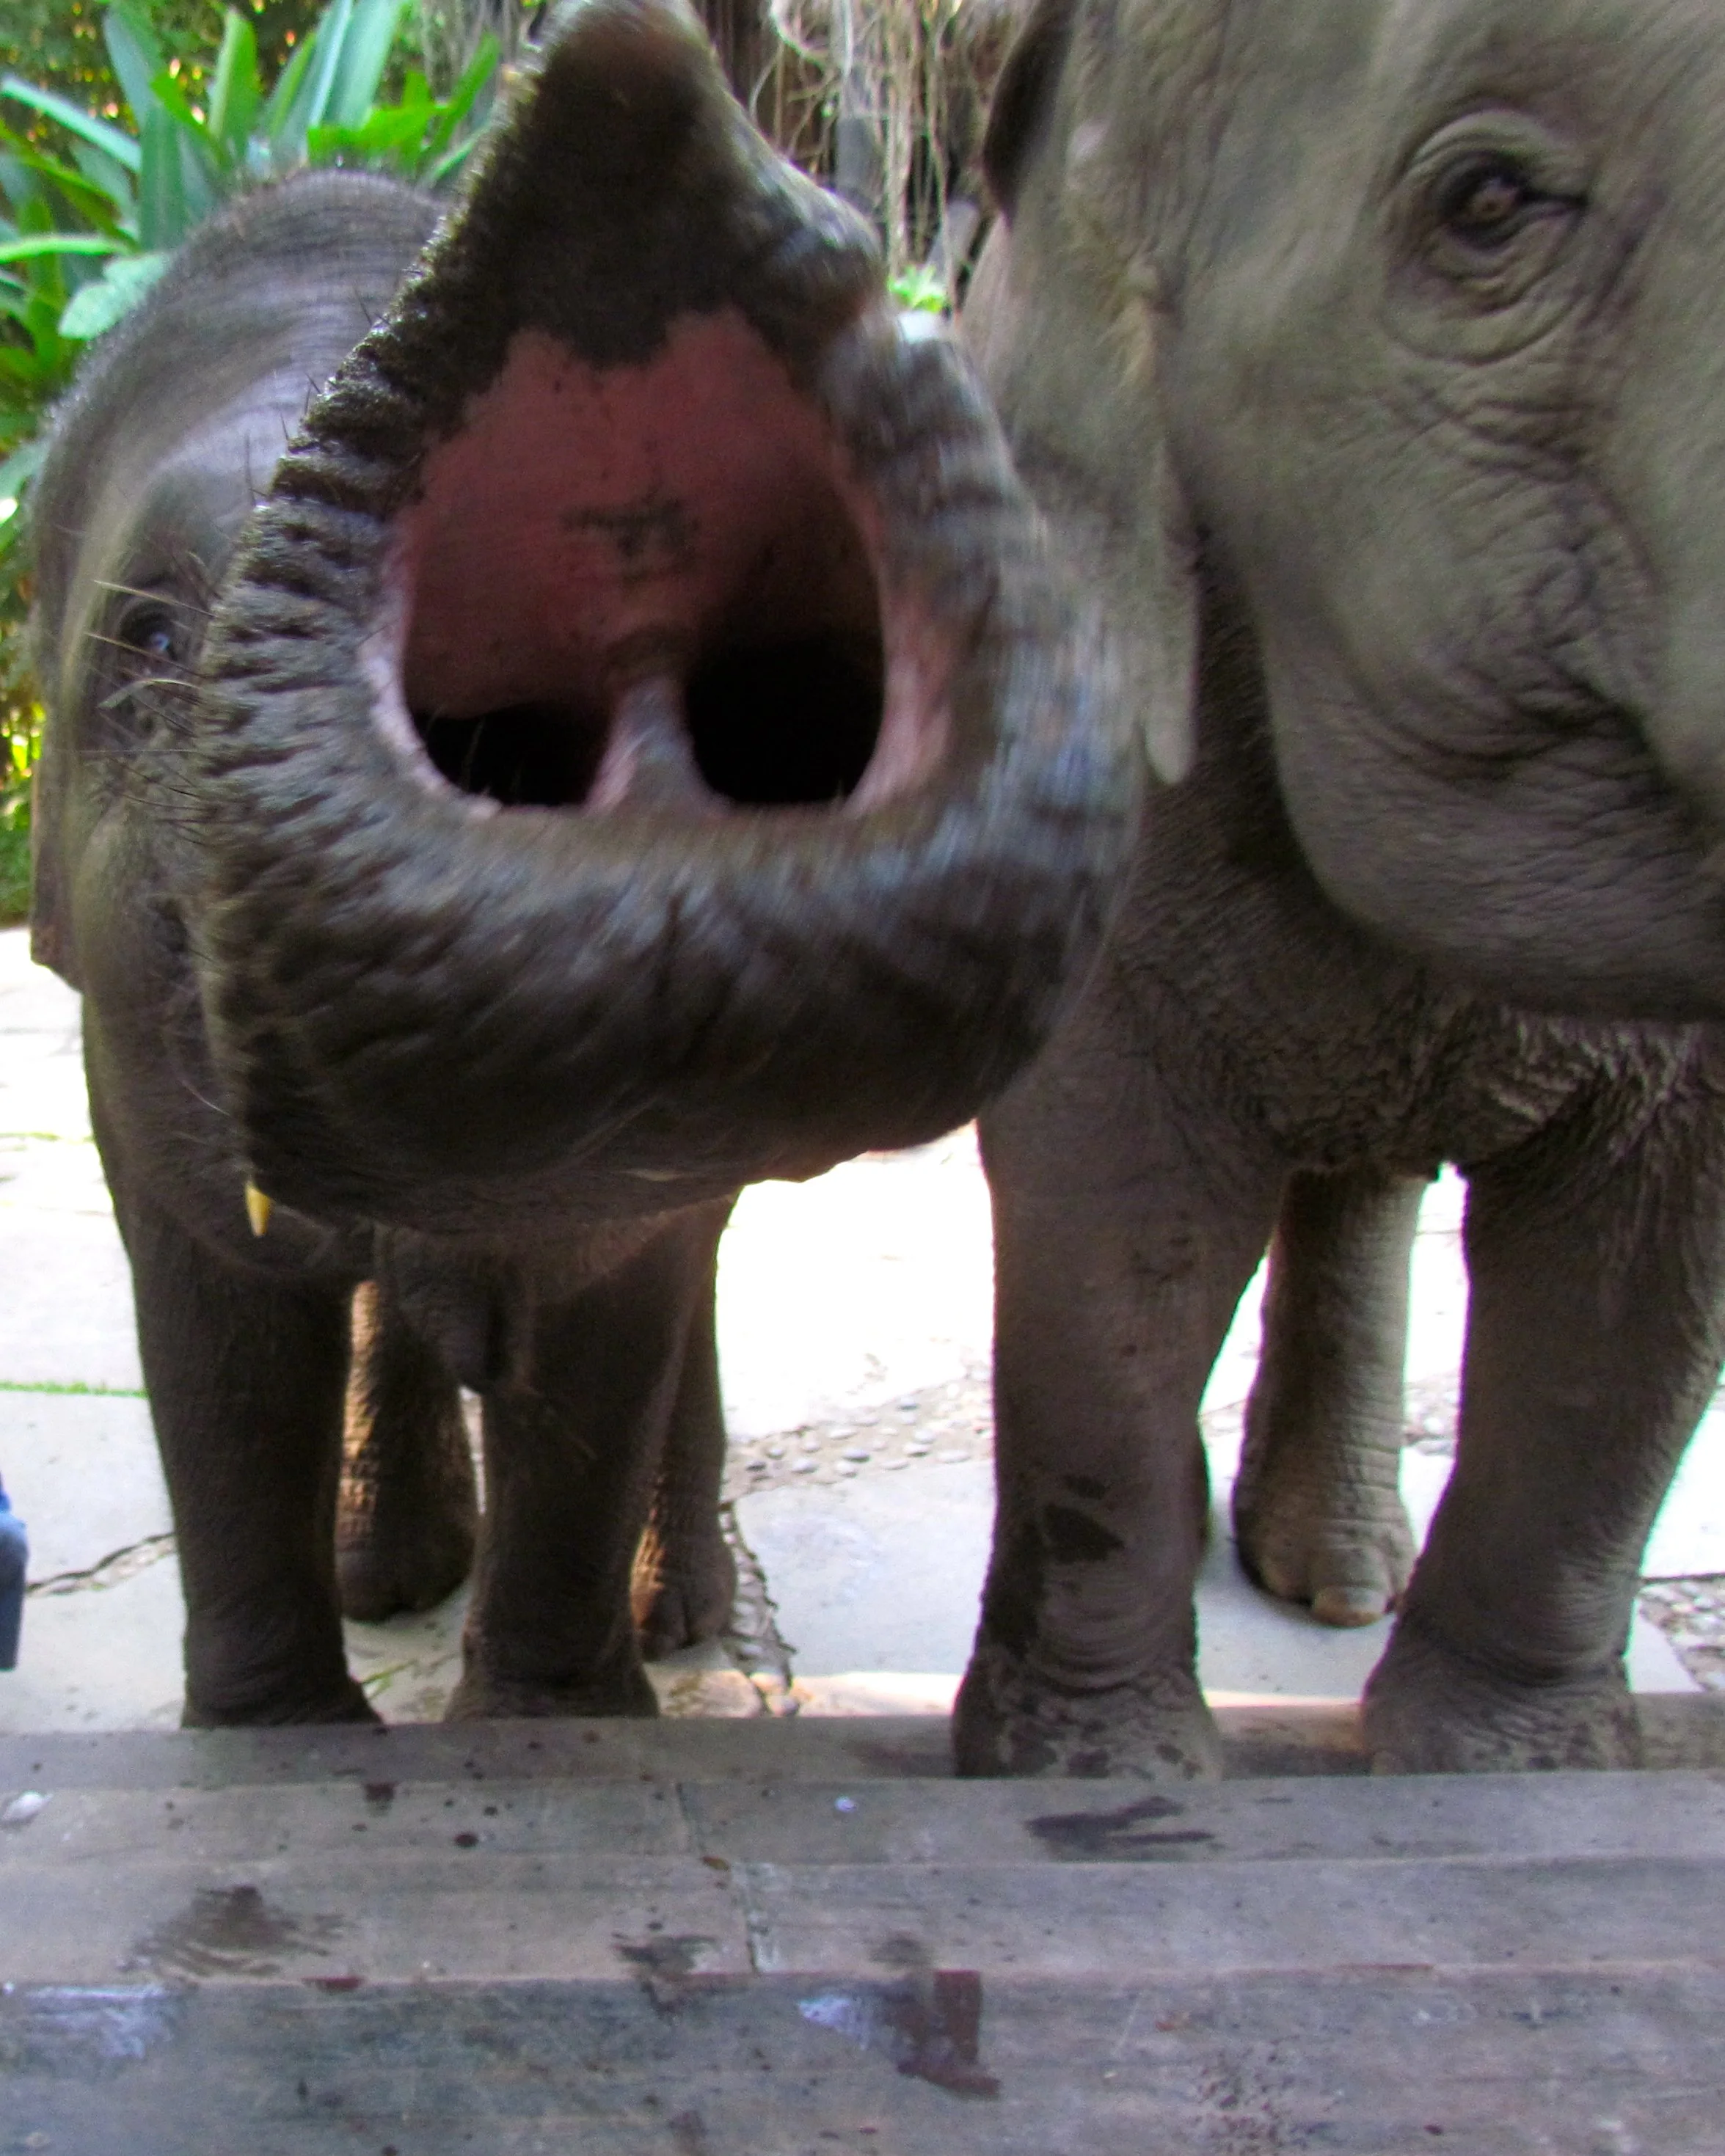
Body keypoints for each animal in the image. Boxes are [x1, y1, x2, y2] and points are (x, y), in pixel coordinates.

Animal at [27, 0, 1136, 1726]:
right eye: (144, 641)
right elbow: (219, 1320)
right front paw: (276, 1737)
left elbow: (614, 1313)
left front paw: (557, 1722)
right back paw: (390, 1569)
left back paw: (670, 1609)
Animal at [955, 0, 1725, 1779]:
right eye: (1487, 205)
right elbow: (1119, 1210)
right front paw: (1094, 1772)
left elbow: (1640, 1278)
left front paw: (1499, 1775)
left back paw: (1336, 1576)